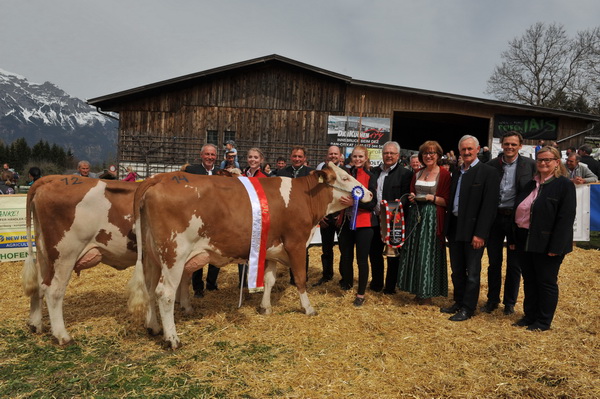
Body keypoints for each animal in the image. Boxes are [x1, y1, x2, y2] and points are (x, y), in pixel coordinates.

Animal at [22, 177, 146, 346]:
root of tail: (53, 178)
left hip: (44, 254)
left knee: (39, 285)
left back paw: (35, 324)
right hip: (65, 254)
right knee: (53, 290)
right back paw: (62, 336)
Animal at [127, 162, 370, 350]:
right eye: (345, 177)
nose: (368, 193)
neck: (303, 198)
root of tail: (160, 178)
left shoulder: (271, 249)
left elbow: (269, 280)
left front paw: (265, 307)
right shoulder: (296, 244)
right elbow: (301, 278)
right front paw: (308, 308)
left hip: (151, 256)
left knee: (149, 289)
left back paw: (153, 327)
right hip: (174, 255)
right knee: (164, 293)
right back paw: (172, 339)